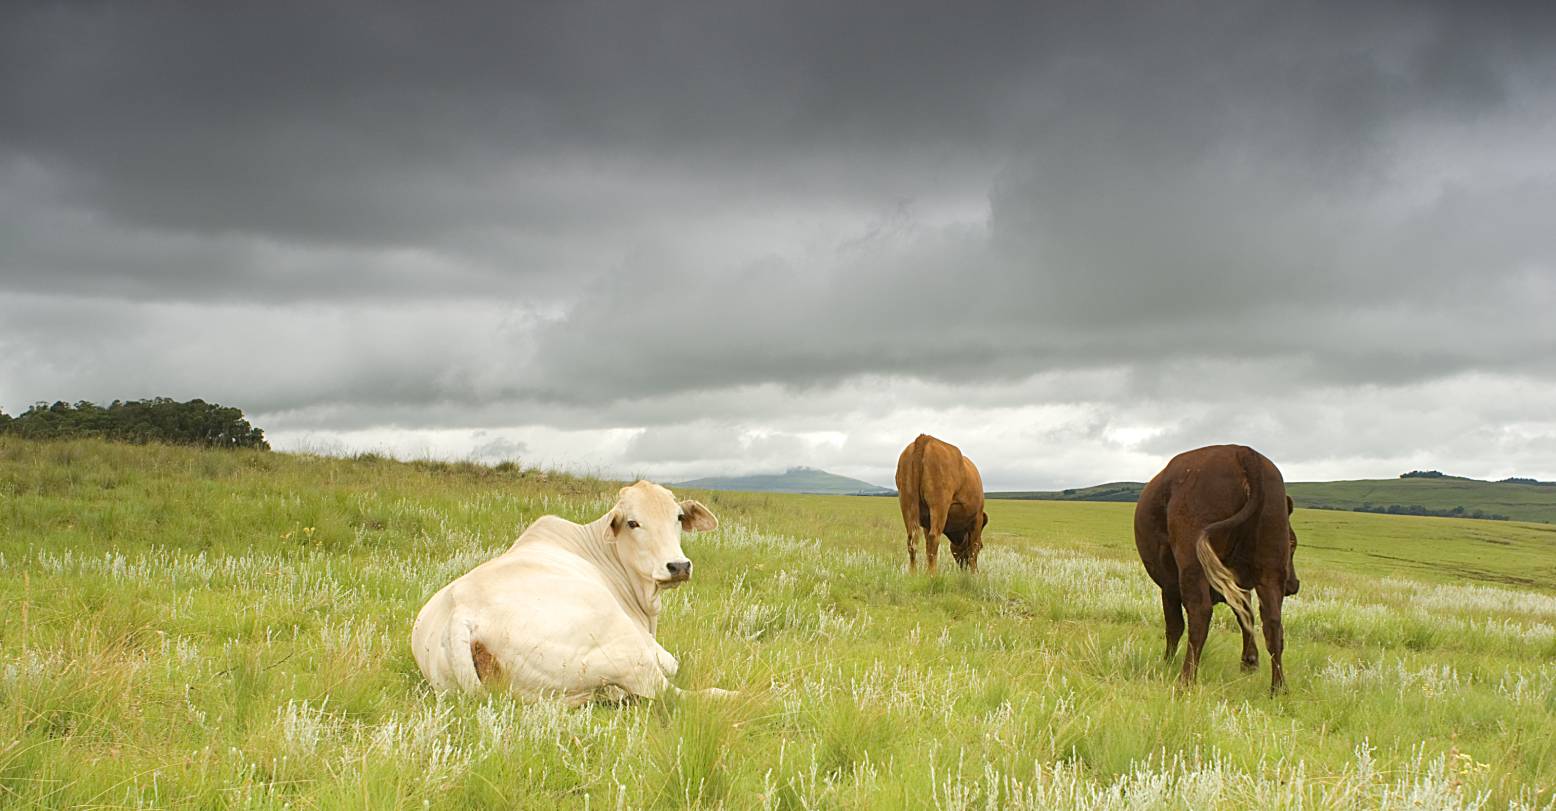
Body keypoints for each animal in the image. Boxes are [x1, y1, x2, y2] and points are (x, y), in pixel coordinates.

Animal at [413, 479, 728, 700]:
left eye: (678, 517)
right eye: (633, 522)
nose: (678, 565)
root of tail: (460, 613)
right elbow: (674, 663)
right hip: (626, 647)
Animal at [896, 432, 989, 572]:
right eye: (982, 547)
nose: (963, 569)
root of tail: (925, 438)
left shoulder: (926, 523)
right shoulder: (977, 518)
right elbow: (973, 549)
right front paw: (975, 574)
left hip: (907, 501)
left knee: (912, 540)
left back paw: (913, 574)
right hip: (939, 504)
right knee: (934, 537)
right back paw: (932, 574)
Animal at [1132, 442, 1300, 688]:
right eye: (1292, 543)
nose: (1293, 584)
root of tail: (1243, 452)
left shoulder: (1169, 586)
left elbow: (1174, 625)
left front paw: (1166, 663)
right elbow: (1246, 616)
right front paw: (1249, 662)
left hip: (1192, 564)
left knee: (1199, 613)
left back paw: (1185, 680)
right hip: (1270, 569)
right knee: (1273, 623)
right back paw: (1278, 688)